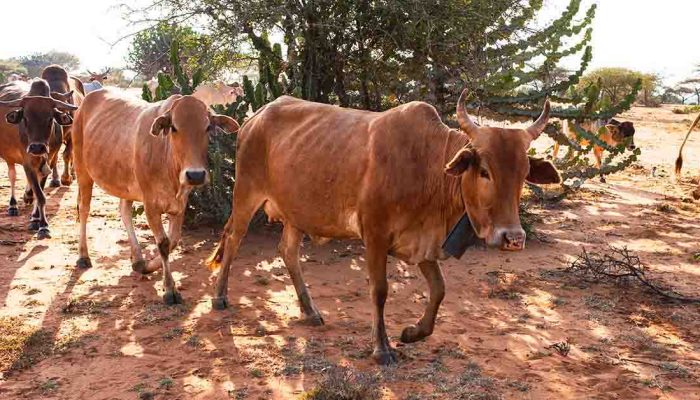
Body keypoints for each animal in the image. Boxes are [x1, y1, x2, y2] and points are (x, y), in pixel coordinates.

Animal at [0, 78, 78, 236]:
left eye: (50, 119)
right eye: (25, 118)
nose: (37, 147)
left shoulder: (49, 160)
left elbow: (39, 193)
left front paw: (37, 220)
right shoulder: (27, 162)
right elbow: (39, 194)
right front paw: (43, 225)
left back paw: (27, 196)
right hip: (9, 157)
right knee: (12, 176)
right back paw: (13, 205)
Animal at [72, 88, 239, 304]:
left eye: (208, 127)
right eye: (174, 127)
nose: (195, 175)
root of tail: (87, 99)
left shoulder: (180, 204)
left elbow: (173, 241)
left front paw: (146, 266)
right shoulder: (150, 204)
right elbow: (163, 243)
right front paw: (169, 289)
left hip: (125, 184)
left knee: (124, 211)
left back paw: (137, 258)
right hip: (82, 171)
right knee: (84, 209)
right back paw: (83, 256)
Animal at [205, 90, 560, 366]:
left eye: (524, 173)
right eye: (484, 171)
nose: (513, 238)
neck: (428, 164)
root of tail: (255, 117)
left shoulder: (423, 242)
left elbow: (439, 290)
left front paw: (413, 333)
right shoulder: (374, 235)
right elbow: (380, 291)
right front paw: (382, 349)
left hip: (296, 212)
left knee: (288, 252)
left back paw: (310, 311)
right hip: (246, 194)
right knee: (233, 239)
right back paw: (220, 298)